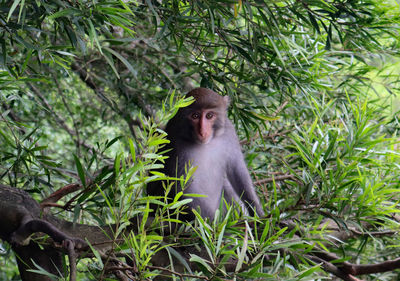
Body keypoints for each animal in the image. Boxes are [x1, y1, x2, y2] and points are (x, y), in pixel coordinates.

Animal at [148, 87, 266, 219]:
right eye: (195, 116)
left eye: (209, 115)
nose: (202, 131)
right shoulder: (177, 144)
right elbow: (184, 187)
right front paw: (213, 223)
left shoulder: (229, 131)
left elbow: (237, 170)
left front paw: (258, 212)